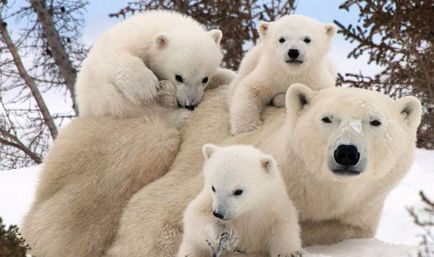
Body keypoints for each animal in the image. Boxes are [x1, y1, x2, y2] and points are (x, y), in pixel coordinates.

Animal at [76, 9, 236, 125]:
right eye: (179, 77)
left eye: (205, 79)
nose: (190, 104)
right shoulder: (125, 41)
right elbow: (116, 56)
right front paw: (145, 88)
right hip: (106, 101)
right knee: (139, 110)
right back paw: (179, 114)